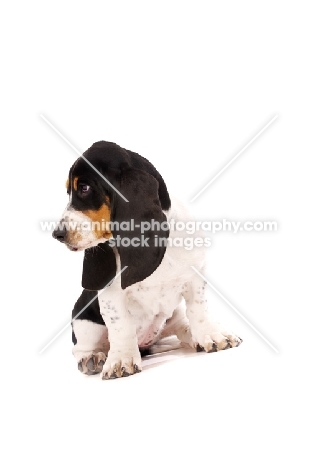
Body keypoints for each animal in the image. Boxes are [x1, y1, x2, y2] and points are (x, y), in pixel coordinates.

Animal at [53, 141, 244, 378]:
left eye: (85, 188)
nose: (57, 234)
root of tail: (146, 345)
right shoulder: (110, 297)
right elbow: (121, 326)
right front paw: (121, 360)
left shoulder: (195, 276)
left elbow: (198, 310)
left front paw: (212, 335)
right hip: (84, 320)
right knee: (82, 347)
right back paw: (93, 358)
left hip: (171, 316)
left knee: (182, 326)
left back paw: (192, 336)